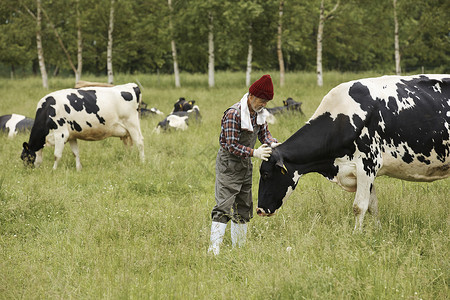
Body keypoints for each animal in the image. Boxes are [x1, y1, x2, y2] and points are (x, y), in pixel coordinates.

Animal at [256, 74, 450, 232]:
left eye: (265, 174)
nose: (259, 210)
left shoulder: (367, 165)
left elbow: (359, 206)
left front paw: (357, 234)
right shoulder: (360, 171)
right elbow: (373, 206)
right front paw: (377, 232)